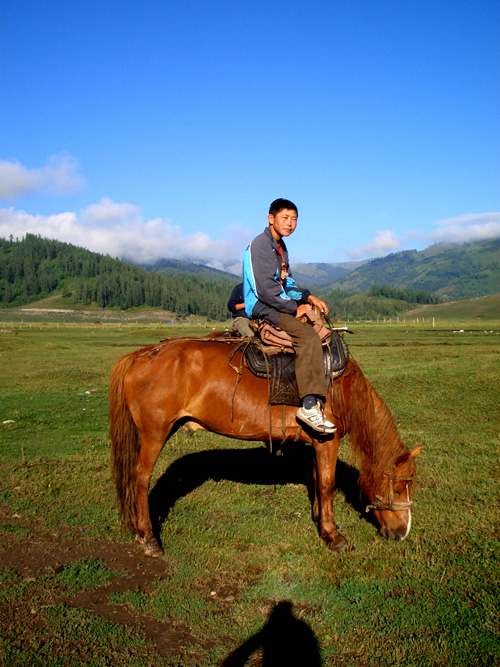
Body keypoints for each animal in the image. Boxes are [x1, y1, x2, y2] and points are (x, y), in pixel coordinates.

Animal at [109, 334, 422, 560]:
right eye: (398, 487)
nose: (402, 533)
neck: (342, 387)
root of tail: (142, 354)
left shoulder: (315, 442)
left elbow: (316, 479)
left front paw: (319, 520)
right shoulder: (328, 441)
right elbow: (327, 484)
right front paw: (334, 536)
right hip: (155, 434)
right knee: (140, 477)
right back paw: (149, 537)